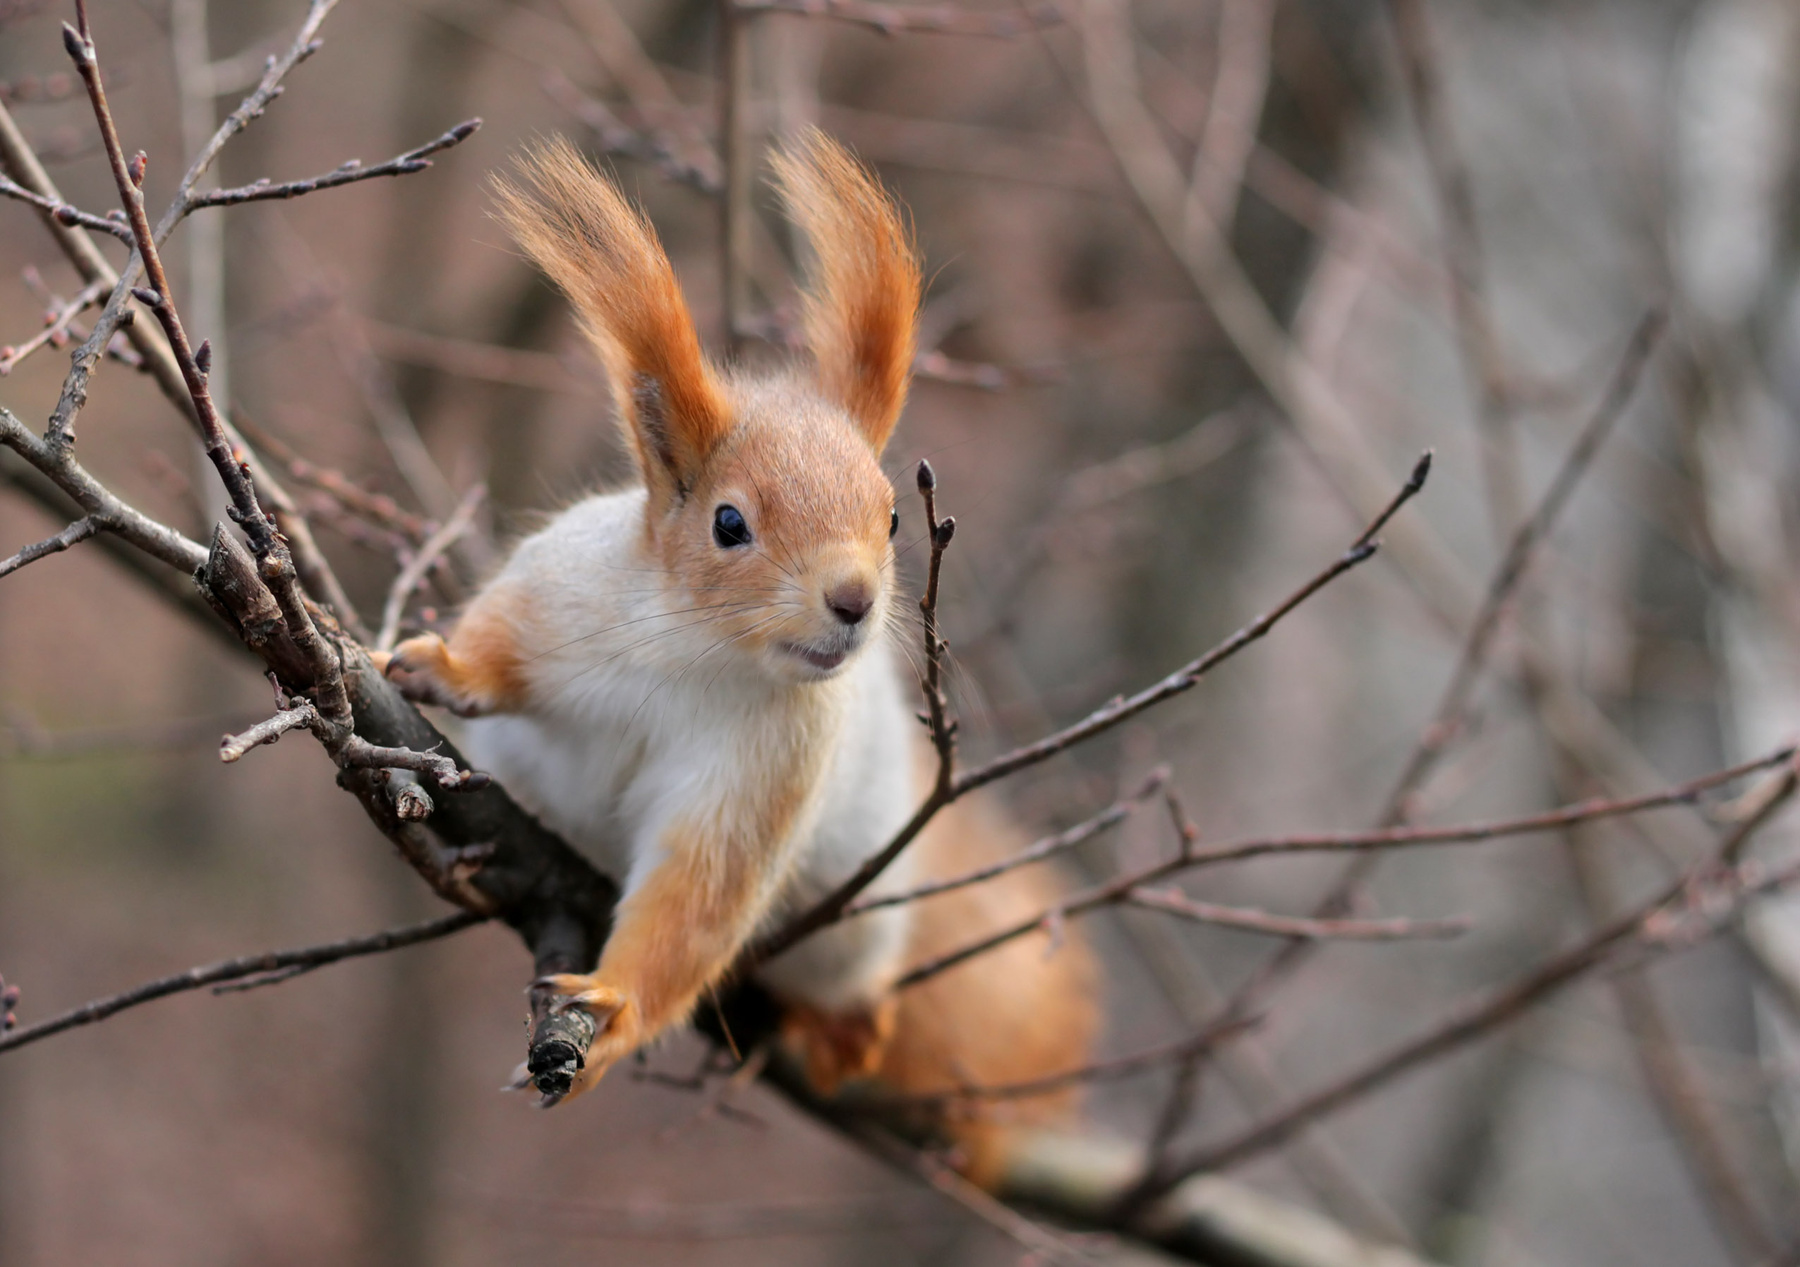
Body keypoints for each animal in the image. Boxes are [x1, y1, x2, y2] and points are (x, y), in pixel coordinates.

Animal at [379, 132, 1095, 1185]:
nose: (854, 600)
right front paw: (441, 666)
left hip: (857, 922)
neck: (700, 650)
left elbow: (697, 894)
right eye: (728, 523)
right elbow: (501, 637)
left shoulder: (766, 767)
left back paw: (846, 1033)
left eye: (893, 517)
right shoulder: (562, 594)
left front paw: (612, 1011)